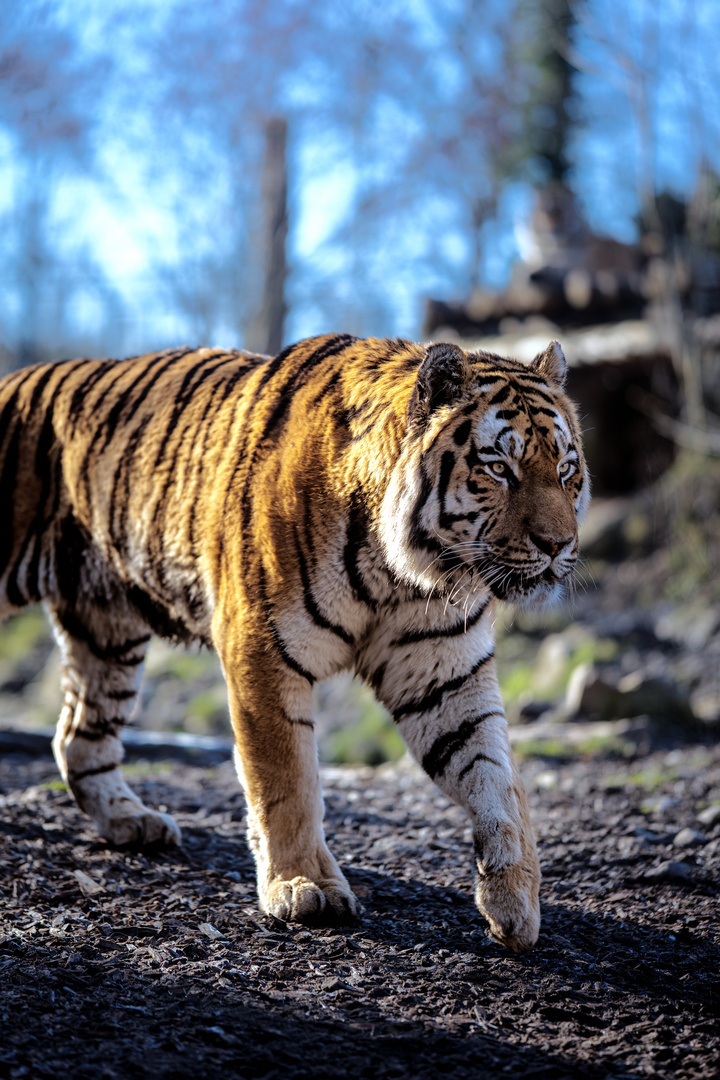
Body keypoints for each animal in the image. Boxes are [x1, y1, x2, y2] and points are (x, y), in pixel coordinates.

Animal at [0, 332, 591, 950]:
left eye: (566, 469)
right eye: (499, 467)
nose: (558, 545)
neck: (406, 572)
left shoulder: (445, 672)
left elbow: (497, 777)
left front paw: (514, 898)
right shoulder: (261, 650)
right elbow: (286, 779)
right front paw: (304, 886)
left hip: (108, 635)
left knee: (77, 737)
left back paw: (129, 821)